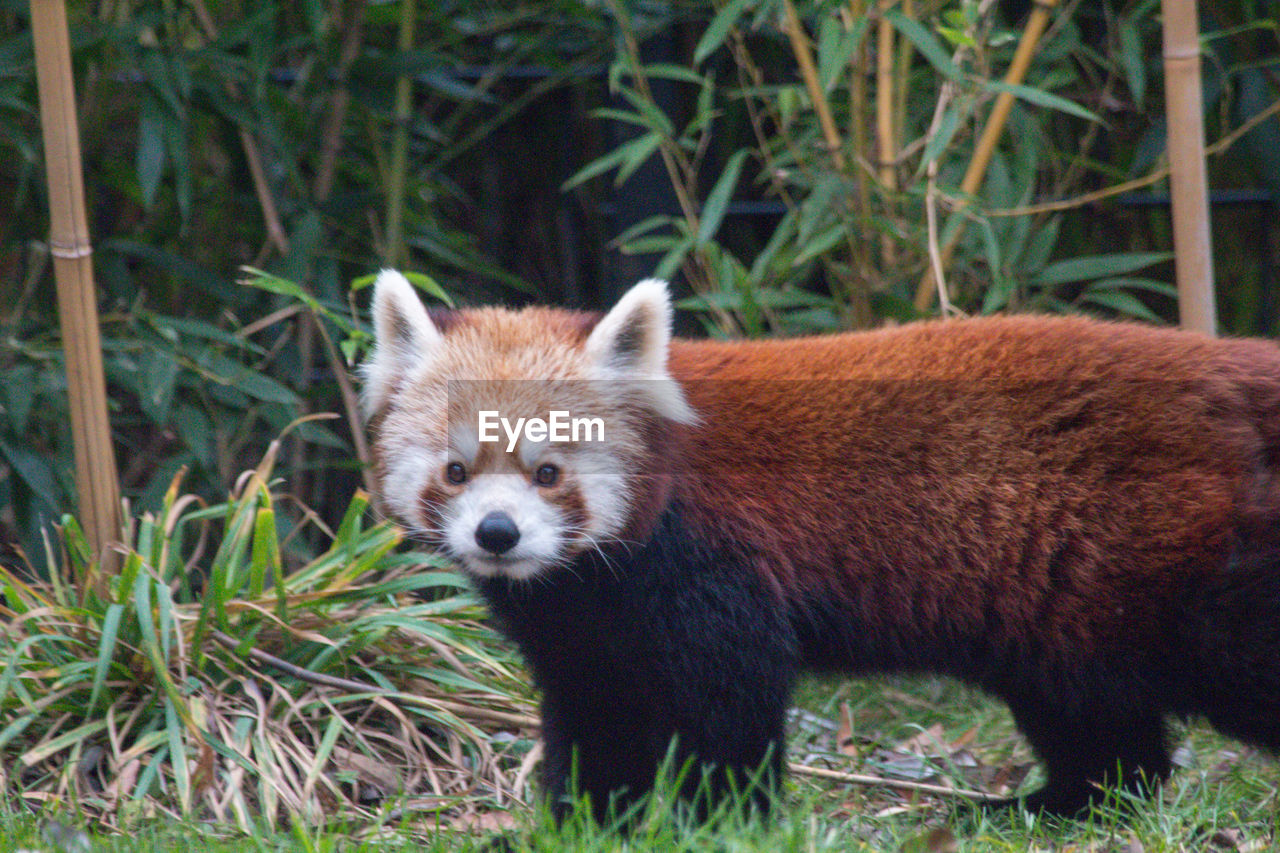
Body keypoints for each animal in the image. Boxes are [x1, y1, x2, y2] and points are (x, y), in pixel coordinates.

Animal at [358, 268, 1280, 819]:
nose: (499, 533)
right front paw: (589, 813)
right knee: (1093, 713)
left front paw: (719, 813)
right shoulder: (581, 618)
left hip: (1183, 570)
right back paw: (1063, 803)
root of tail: (1233, 364)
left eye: (548, 471)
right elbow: (595, 707)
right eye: (455, 469)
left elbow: (729, 700)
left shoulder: (711, 572)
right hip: (1066, 605)